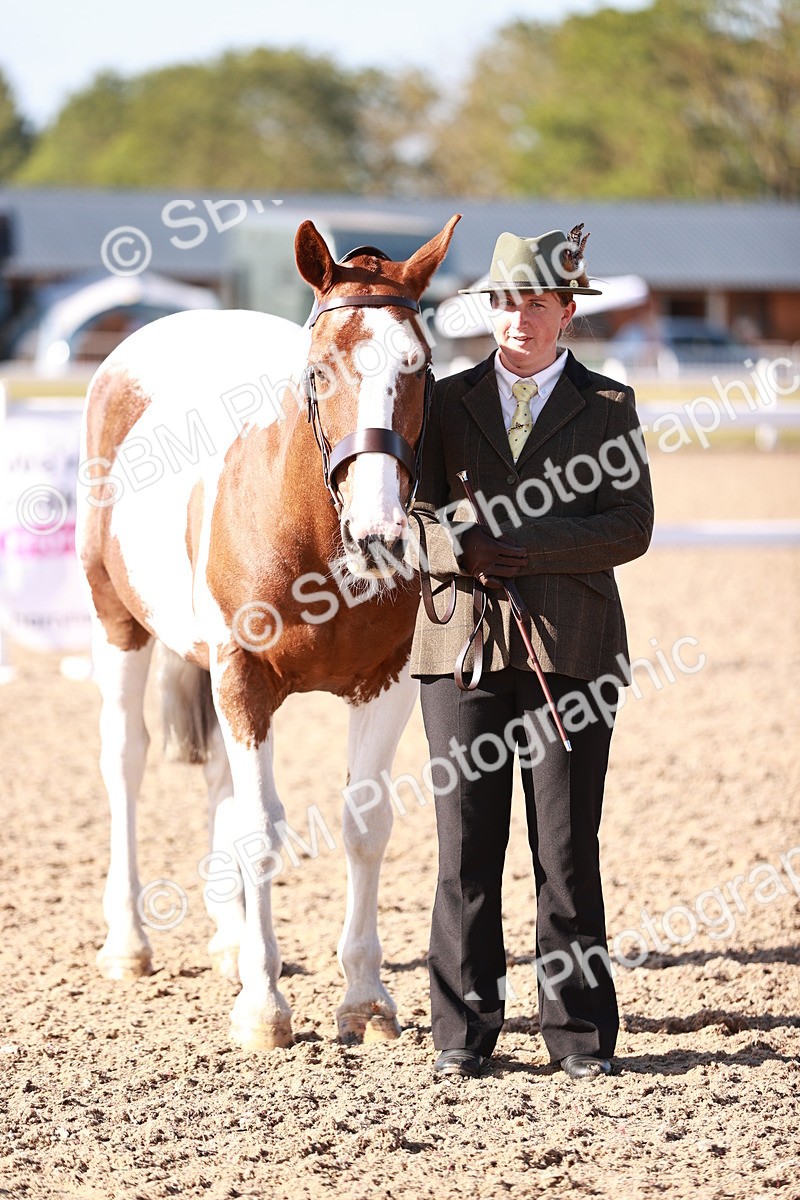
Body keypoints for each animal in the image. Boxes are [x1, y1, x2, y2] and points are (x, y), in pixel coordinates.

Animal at [76, 214, 460, 1050]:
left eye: (418, 368)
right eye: (318, 371)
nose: (380, 533)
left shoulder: (384, 683)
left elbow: (363, 826)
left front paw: (366, 999)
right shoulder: (244, 676)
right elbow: (258, 831)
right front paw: (263, 1008)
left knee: (221, 779)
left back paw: (227, 939)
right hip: (117, 623)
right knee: (125, 762)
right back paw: (128, 943)